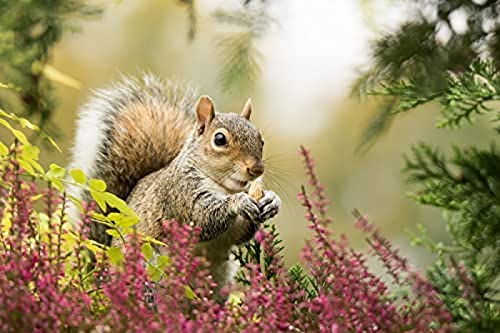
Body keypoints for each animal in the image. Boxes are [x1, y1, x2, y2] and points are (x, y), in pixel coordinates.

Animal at [70, 73, 282, 288]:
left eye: (261, 139)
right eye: (219, 139)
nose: (257, 169)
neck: (224, 188)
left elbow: (240, 233)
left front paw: (271, 201)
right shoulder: (180, 193)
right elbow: (202, 217)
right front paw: (239, 202)